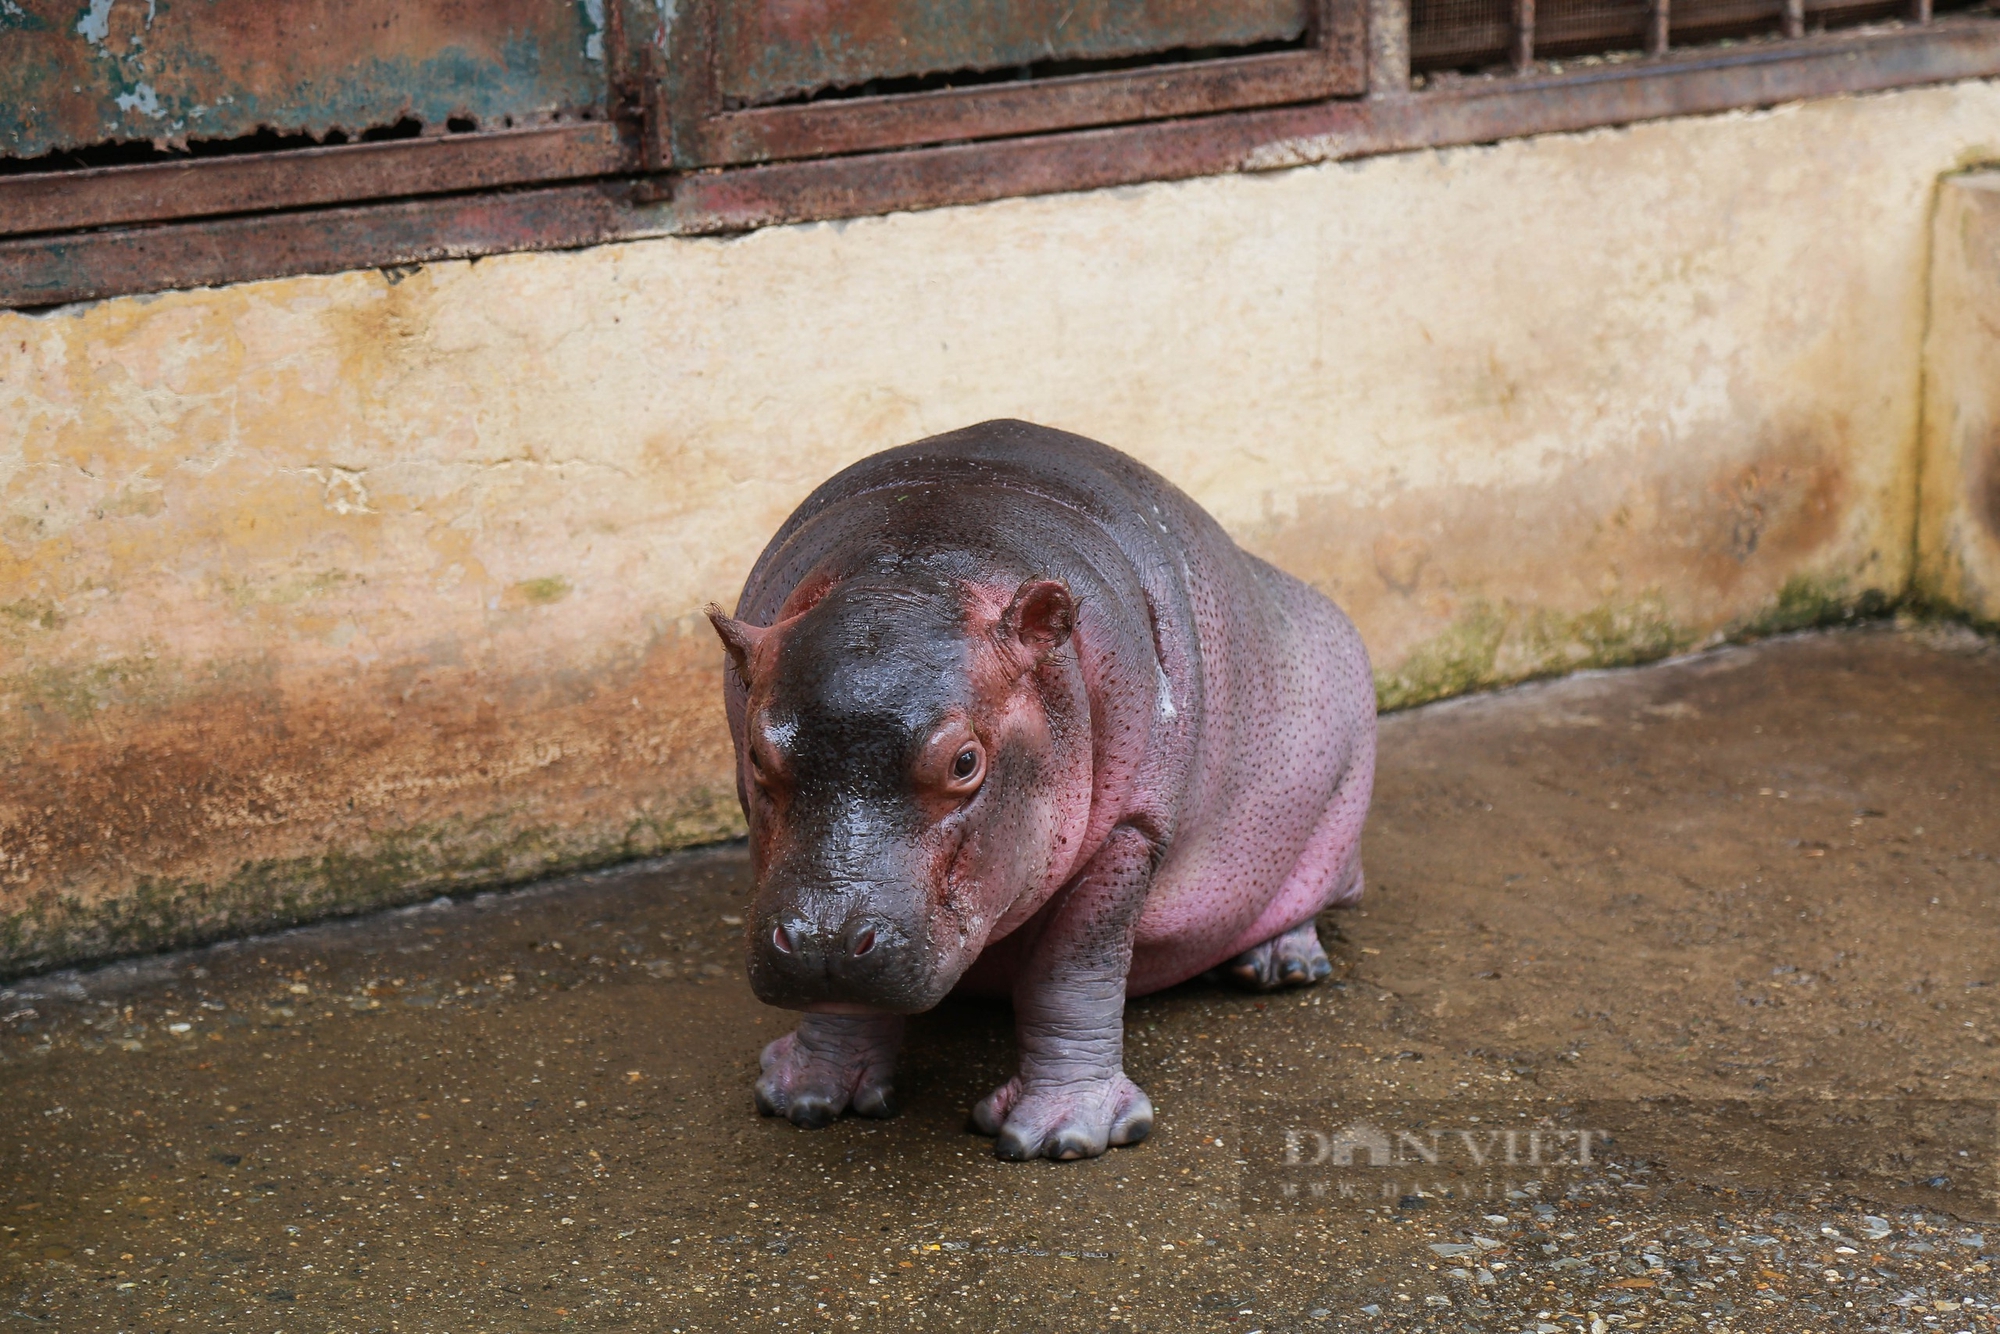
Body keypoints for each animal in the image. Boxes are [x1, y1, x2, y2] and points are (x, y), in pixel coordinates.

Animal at [704, 420, 1376, 1160]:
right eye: (758, 754)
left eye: (965, 761)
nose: (823, 943)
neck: (917, 563)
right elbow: (842, 1004)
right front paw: (805, 1097)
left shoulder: (1131, 830)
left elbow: (1072, 970)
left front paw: (1062, 1136)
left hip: (1337, 812)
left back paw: (1283, 964)